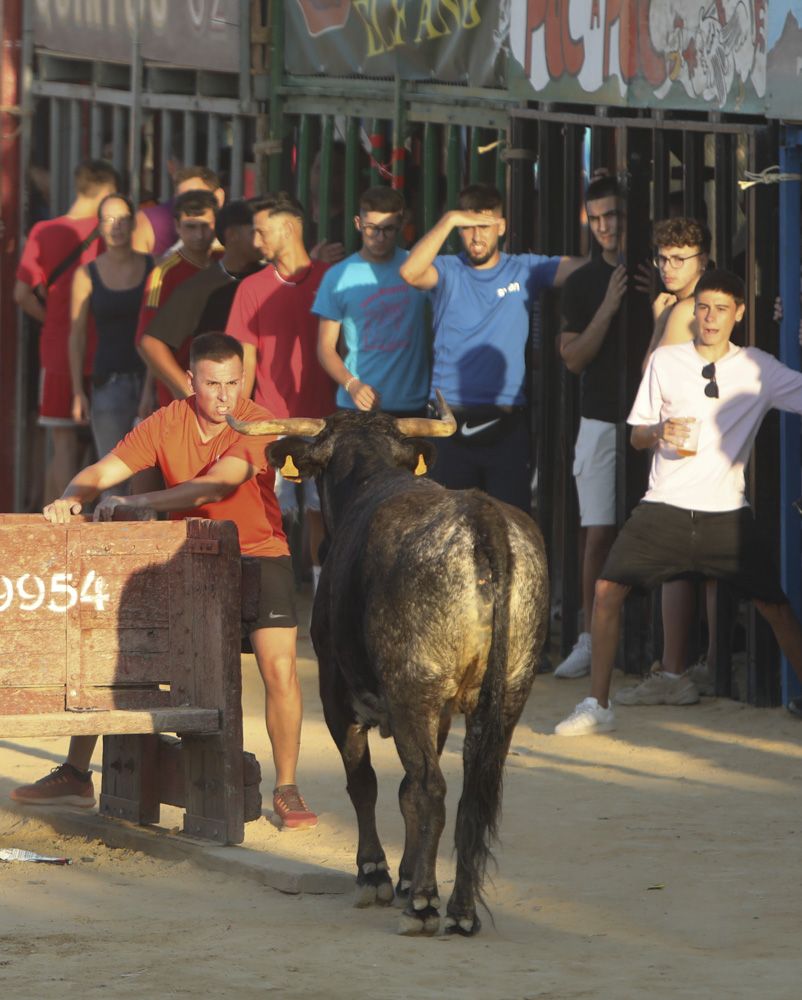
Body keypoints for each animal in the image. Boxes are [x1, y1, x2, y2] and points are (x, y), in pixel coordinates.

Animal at [228, 396, 548, 936]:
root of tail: (482, 519)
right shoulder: (439, 713)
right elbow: (402, 789)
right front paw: (404, 876)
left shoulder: (339, 696)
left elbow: (366, 784)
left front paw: (376, 874)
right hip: (507, 695)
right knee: (472, 792)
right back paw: (460, 910)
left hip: (412, 692)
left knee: (433, 788)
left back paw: (424, 906)